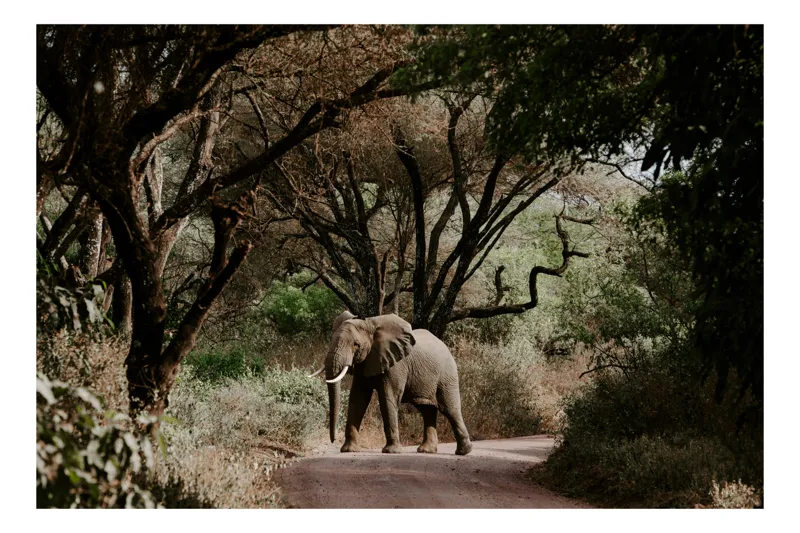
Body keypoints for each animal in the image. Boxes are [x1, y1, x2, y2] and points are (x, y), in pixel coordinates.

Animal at [308, 311, 473, 455]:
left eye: (356, 344)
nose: (332, 439)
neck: (369, 325)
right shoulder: (366, 362)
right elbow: (357, 399)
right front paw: (348, 450)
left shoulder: (396, 364)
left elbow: (387, 398)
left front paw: (391, 451)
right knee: (427, 409)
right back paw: (427, 451)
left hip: (447, 375)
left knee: (450, 409)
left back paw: (463, 452)